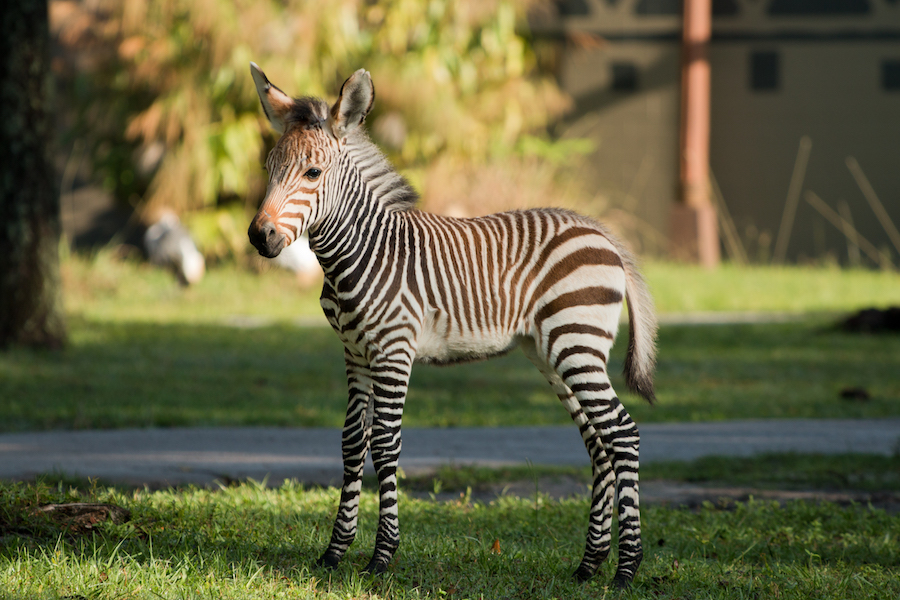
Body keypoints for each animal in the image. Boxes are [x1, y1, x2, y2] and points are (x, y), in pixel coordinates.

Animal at [250, 64, 656, 584]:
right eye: (269, 168)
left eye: (313, 173)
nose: (259, 236)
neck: (358, 254)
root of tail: (601, 232)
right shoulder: (355, 354)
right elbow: (351, 444)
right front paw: (334, 552)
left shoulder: (393, 352)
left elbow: (385, 445)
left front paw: (382, 556)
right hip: (555, 354)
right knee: (598, 442)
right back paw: (589, 564)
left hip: (576, 346)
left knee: (622, 434)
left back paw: (627, 567)